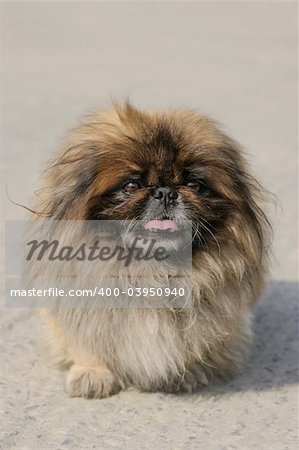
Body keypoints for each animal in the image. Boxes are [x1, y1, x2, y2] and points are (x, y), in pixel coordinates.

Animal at [29, 102, 270, 398]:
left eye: (193, 185)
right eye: (132, 185)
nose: (165, 192)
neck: (152, 272)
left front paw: (189, 371)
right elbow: (85, 340)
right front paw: (93, 372)